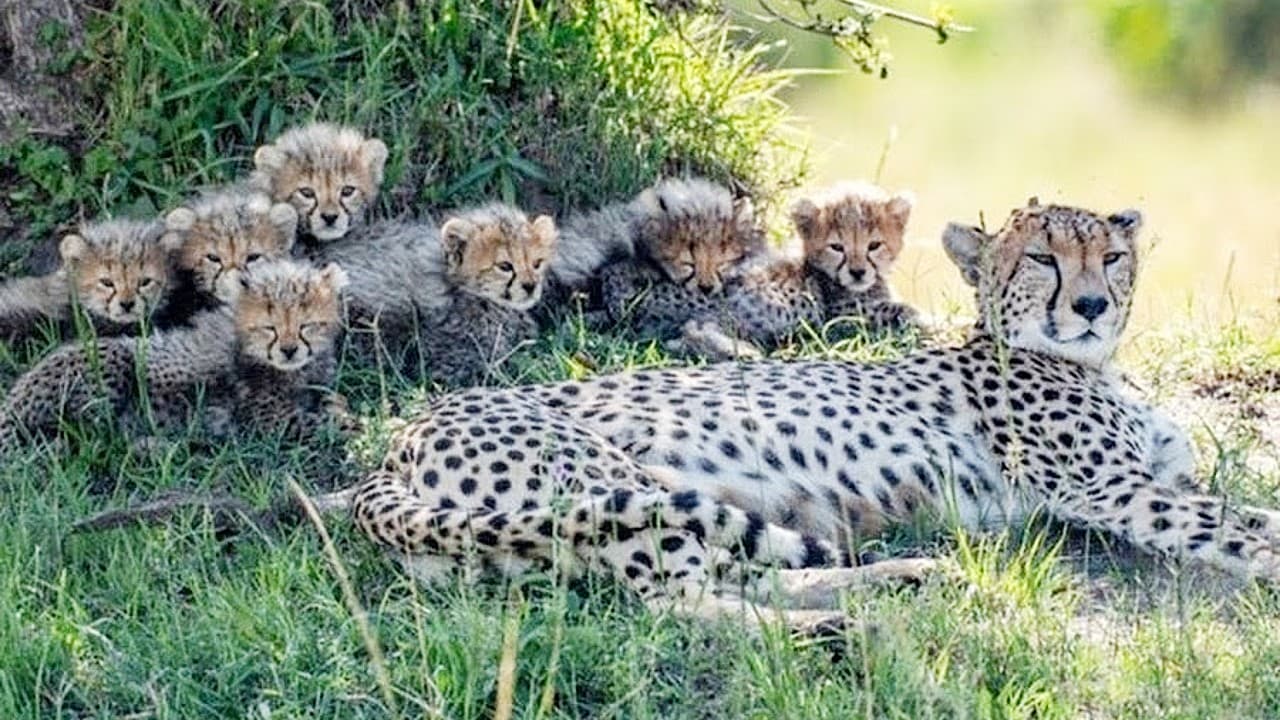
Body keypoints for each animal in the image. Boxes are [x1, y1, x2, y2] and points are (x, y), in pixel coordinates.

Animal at [350, 198, 1280, 625]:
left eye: (1112, 256)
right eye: (1043, 258)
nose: (1089, 305)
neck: (1091, 363)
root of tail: (394, 448)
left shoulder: (1152, 478)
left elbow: (1245, 510)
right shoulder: (1112, 490)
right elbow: (1238, 526)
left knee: (742, 571)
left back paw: (902, 578)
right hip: (609, 488)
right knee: (680, 603)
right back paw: (831, 630)